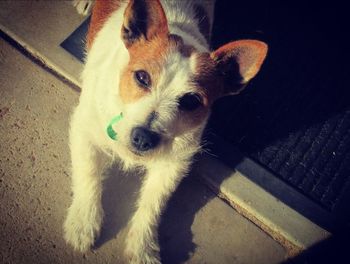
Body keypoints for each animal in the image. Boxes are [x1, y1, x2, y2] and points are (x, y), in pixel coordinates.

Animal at [65, 1, 268, 262]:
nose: (143, 138)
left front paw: (142, 247)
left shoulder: (173, 163)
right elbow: (88, 175)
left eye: (191, 101)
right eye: (142, 77)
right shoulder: (85, 131)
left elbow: (153, 204)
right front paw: (83, 222)